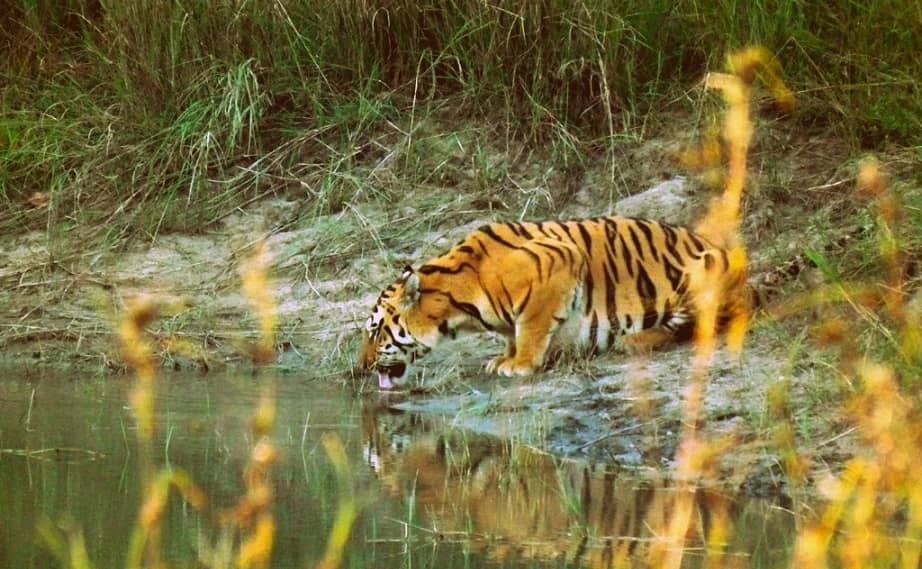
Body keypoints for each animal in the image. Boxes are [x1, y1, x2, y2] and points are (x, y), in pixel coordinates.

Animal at [359, 216, 750, 390]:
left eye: (376, 331)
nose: (361, 367)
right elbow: (510, 333)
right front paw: (503, 357)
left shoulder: (559, 262)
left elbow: (530, 327)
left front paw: (519, 364)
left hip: (703, 270)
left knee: (695, 326)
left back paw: (633, 340)